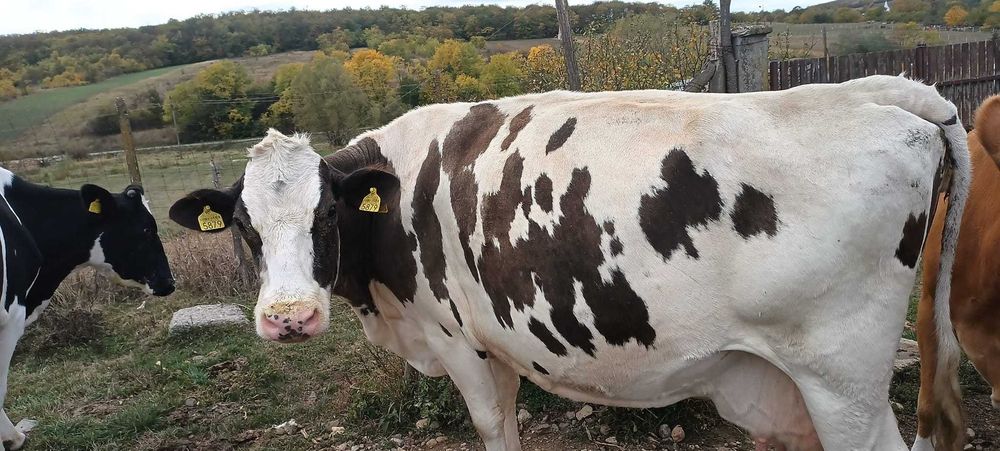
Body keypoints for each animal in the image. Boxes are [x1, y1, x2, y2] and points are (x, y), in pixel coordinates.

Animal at [170, 75, 970, 451]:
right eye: (242, 225)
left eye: (327, 215)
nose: (289, 317)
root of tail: (870, 92)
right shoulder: (494, 343)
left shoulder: (456, 340)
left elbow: (492, 426)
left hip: (841, 377)